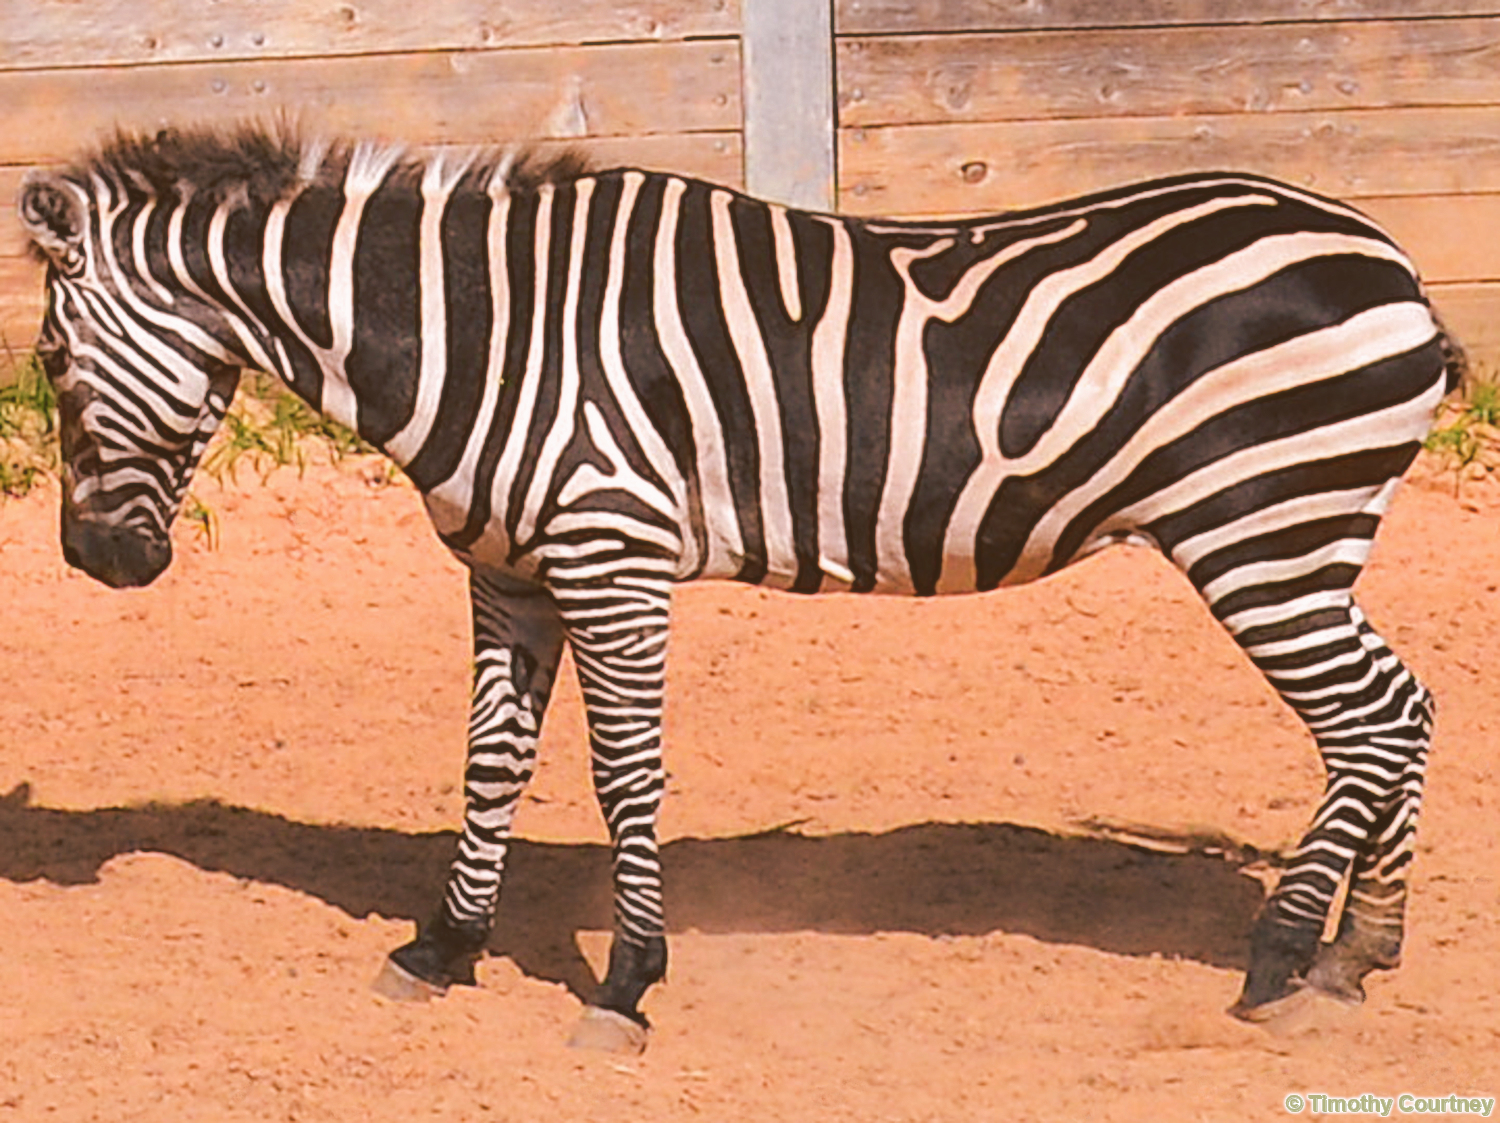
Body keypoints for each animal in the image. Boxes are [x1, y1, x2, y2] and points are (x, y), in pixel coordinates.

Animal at [18, 124, 1462, 1053]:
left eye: (43, 355)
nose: (98, 563)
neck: (477, 332)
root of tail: (1390, 260)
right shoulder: (509, 573)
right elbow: (490, 762)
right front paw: (445, 945)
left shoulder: (611, 553)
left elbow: (623, 772)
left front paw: (625, 980)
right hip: (1313, 532)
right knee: (1406, 707)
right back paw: (1358, 955)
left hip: (1262, 526)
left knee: (1367, 720)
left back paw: (1280, 955)